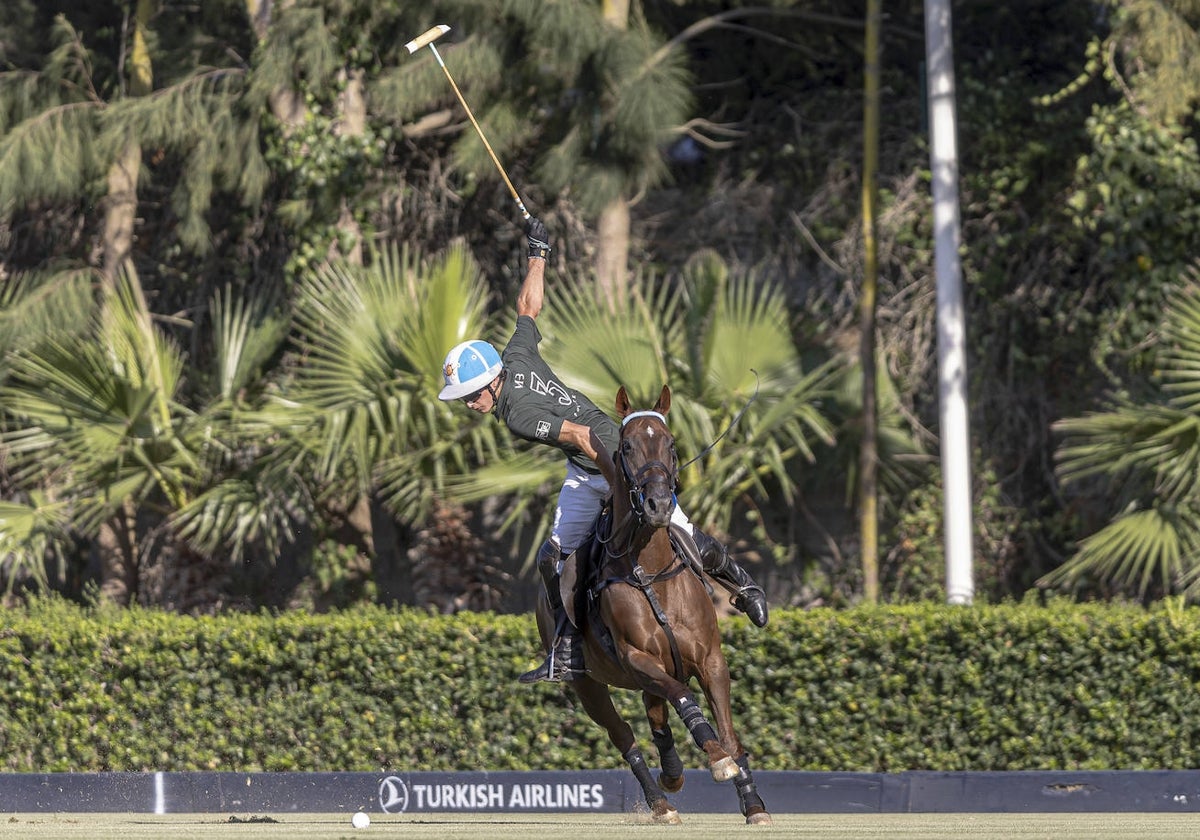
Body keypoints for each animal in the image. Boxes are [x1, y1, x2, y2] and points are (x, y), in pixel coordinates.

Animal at [532, 386, 772, 825]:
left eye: (671, 444)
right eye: (626, 447)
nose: (659, 504)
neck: (652, 569)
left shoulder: (711, 659)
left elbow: (730, 733)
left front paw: (753, 805)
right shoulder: (638, 659)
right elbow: (683, 697)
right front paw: (716, 760)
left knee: (656, 722)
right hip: (587, 684)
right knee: (625, 733)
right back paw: (662, 802)